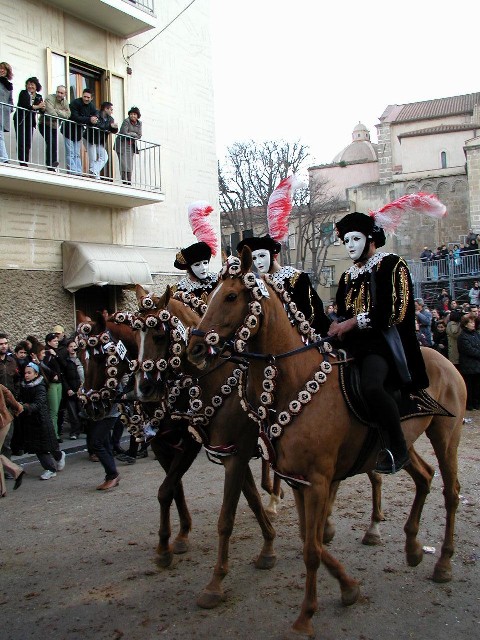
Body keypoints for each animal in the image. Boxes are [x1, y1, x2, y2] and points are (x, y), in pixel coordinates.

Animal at [131, 282, 276, 572]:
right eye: (135, 335)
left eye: (159, 335)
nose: (144, 388)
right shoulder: (223, 451)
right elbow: (248, 496)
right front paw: (174, 540)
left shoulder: (200, 448)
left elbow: (167, 490)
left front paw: (166, 547)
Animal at [188, 252, 464, 636]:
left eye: (229, 296)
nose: (195, 347)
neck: (294, 380)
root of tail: (443, 360)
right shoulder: (296, 480)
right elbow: (310, 539)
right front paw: (347, 588)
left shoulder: (314, 480)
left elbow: (310, 549)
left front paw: (305, 617)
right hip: (402, 446)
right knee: (423, 476)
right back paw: (411, 548)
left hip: (445, 435)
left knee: (450, 492)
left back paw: (443, 563)